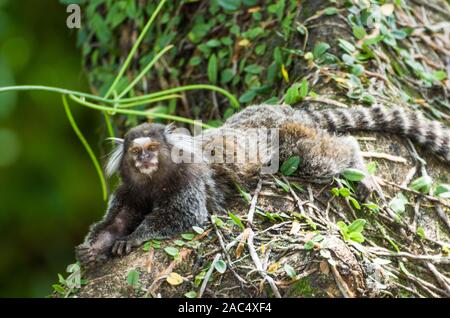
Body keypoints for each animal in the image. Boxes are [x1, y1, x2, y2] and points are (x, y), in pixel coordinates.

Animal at [75, 105, 448, 266]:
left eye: (152, 148)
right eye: (136, 152)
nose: (143, 160)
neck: (154, 181)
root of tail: (292, 111)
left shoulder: (189, 183)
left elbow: (182, 216)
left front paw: (134, 238)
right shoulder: (129, 192)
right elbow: (117, 221)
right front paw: (96, 247)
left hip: (289, 141)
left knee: (322, 155)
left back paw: (358, 166)